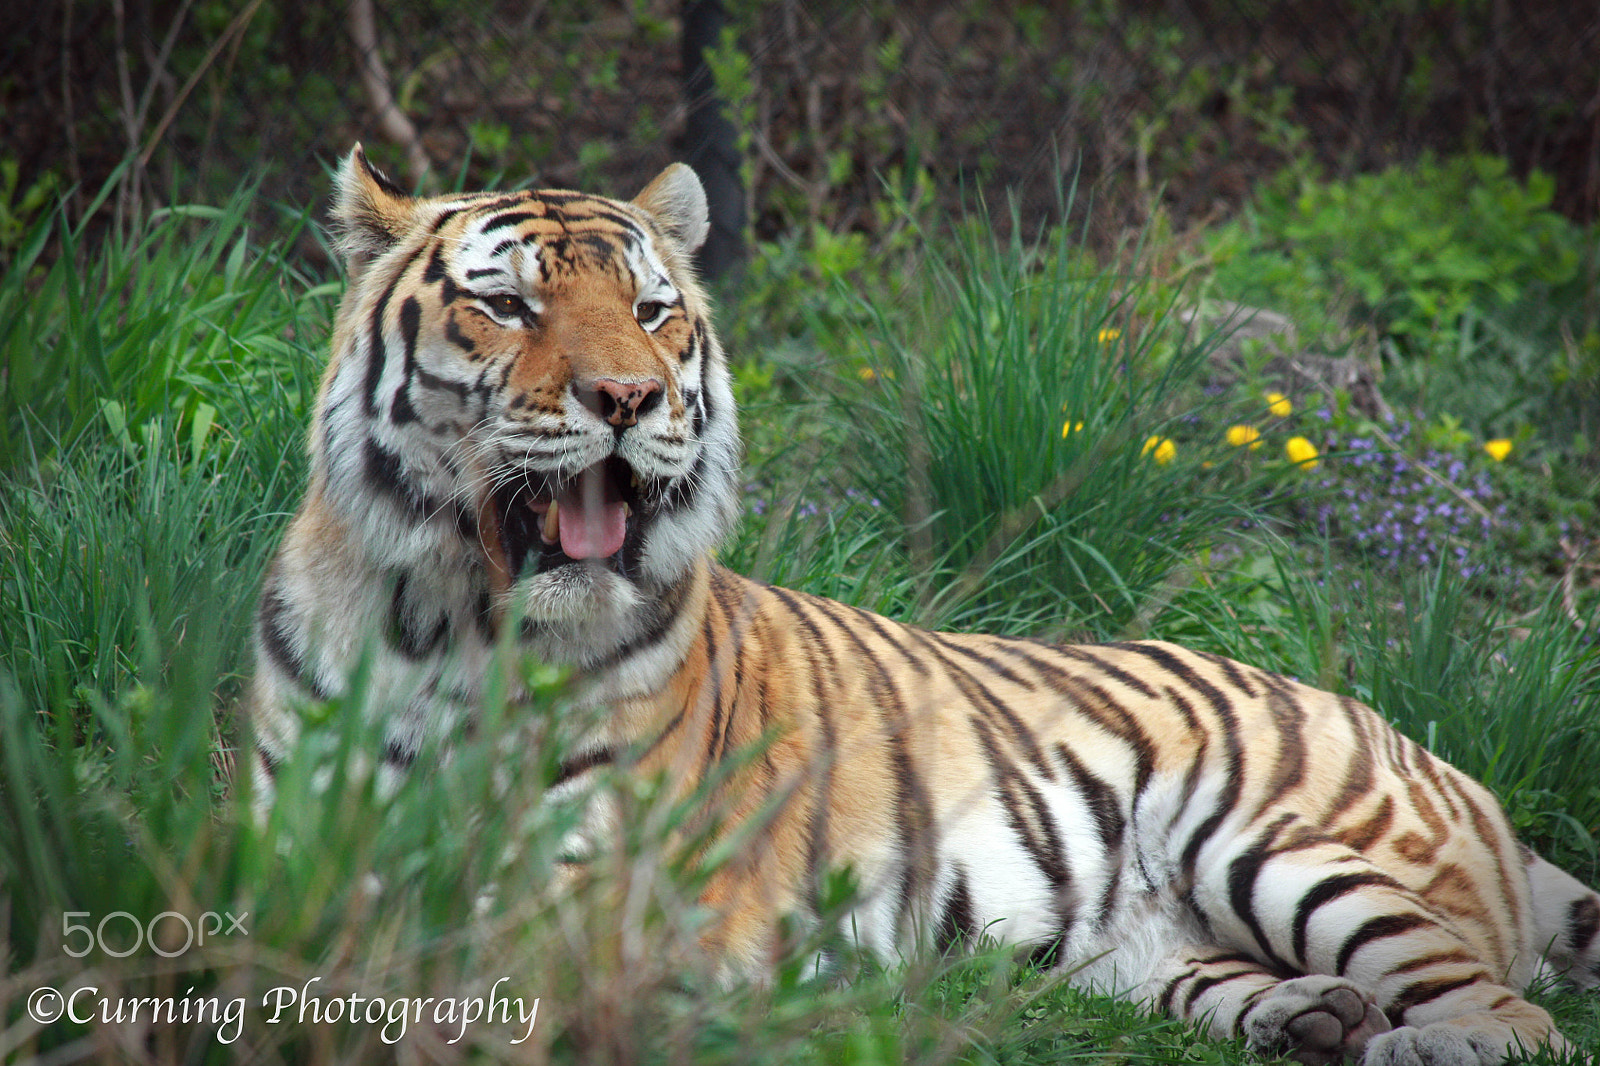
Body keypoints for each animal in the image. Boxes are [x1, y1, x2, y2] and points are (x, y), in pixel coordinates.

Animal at [249, 144, 1600, 1066]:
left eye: (650, 310)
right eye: (509, 304)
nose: (629, 398)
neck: (448, 626)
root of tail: (1428, 753)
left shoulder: (600, 887)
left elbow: (465, 962)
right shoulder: (290, 831)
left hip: (1280, 841)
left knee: (1511, 1010)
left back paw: (1425, 1034)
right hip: (1145, 955)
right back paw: (1318, 1017)